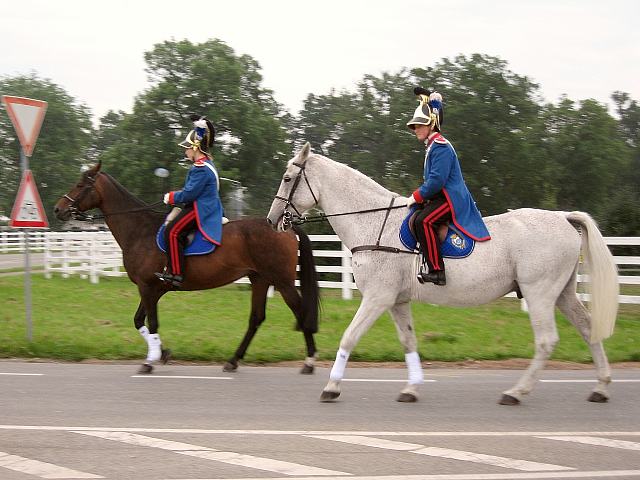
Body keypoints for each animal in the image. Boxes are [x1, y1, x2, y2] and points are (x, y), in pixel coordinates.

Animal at [53, 163, 318, 376]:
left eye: (80, 184)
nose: (58, 209)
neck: (140, 230)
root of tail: (285, 226)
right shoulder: (154, 289)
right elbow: (140, 321)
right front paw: (162, 352)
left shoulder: (147, 287)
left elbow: (152, 323)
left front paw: (150, 361)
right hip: (260, 280)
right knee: (256, 319)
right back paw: (233, 361)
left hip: (282, 282)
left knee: (300, 311)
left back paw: (309, 361)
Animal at [266, 142, 620, 404]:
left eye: (287, 178)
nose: (272, 221)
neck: (373, 221)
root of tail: (562, 217)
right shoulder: (397, 301)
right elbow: (408, 341)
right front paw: (411, 388)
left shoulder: (378, 298)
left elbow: (349, 336)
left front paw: (332, 386)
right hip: (562, 294)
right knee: (588, 329)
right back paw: (601, 387)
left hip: (539, 293)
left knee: (546, 340)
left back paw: (516, 392)